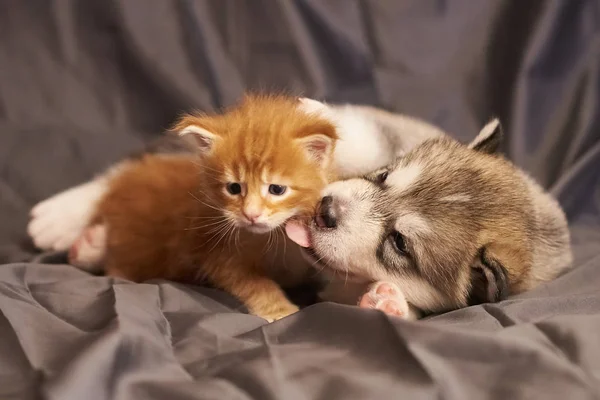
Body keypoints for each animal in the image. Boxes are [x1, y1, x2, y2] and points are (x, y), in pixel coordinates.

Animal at [69, 94, 338, 322]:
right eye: (234, 188)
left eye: (276, 189)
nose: (250, 215)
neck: (275, 236)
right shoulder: (214, 250)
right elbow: (254, 283)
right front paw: (279, 310)